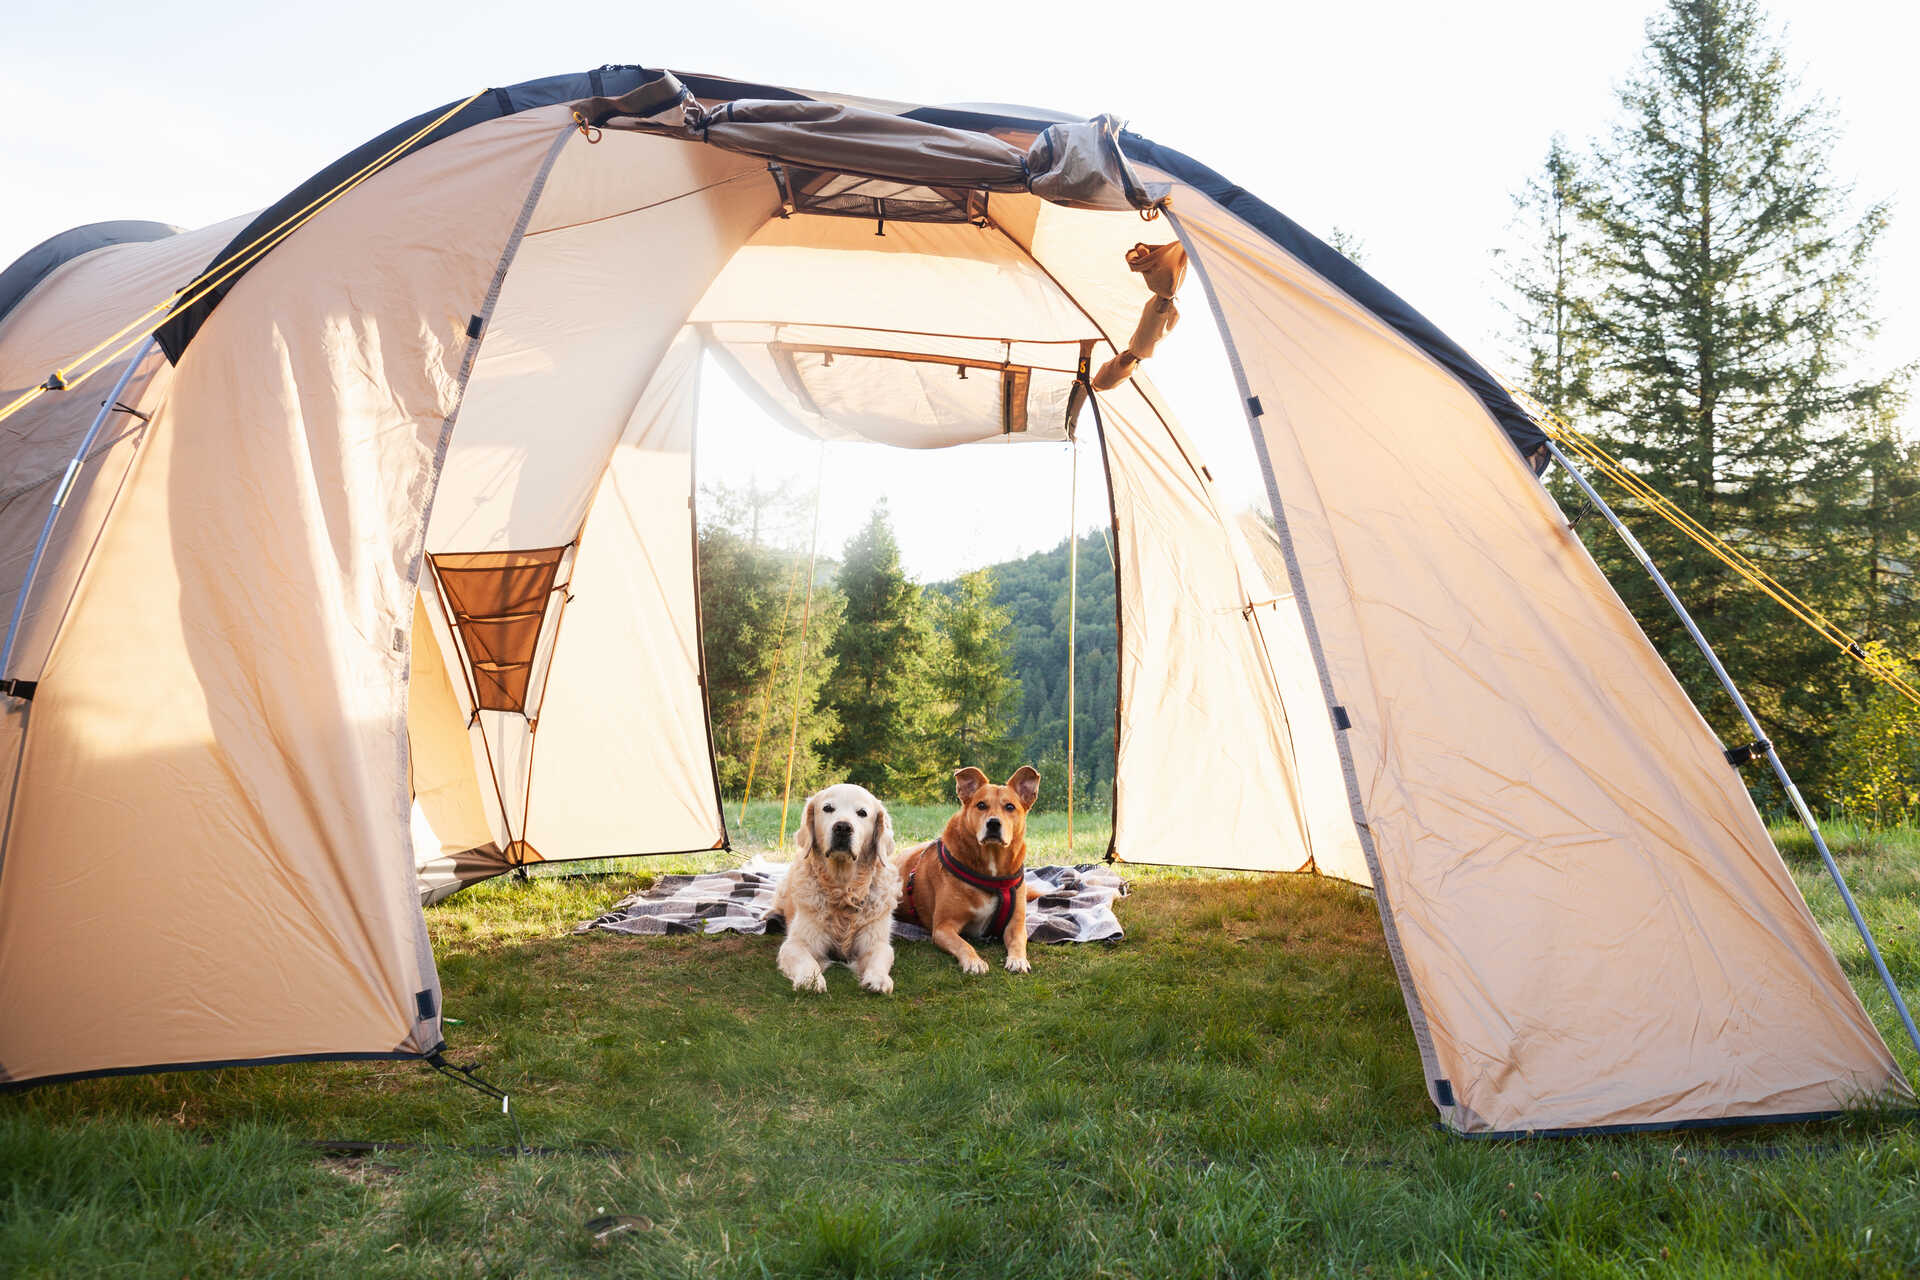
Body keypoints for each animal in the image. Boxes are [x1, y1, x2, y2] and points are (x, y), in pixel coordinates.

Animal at [771, 782, 898, 997]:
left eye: (862, 813)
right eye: (828, 808)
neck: (842, 889)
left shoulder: (875, 941)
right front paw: (810, 980)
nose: (843, 827)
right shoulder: (796, 943)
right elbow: (807, 960)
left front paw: (878, 979)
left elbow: (882, 956)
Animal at [894, 767, 1044, 974]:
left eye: (1010, 807)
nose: (993, 823)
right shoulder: (943, 928)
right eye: (981, 805)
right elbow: (963, 944)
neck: (992, 873)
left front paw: (1018, 959)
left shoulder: (1016, 924)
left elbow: (1018, 942)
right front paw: (974, 961)